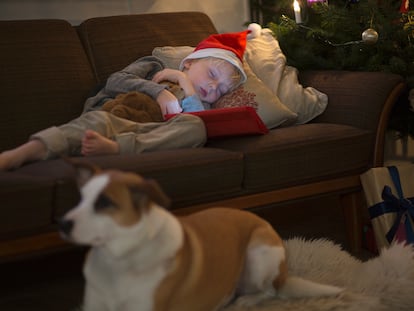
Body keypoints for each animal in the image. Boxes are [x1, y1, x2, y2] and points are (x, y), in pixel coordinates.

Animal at [59, 162, 342, 310]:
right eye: (81, 198)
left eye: (105, 203)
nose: (62, 224)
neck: (118, 261)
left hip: (258, 254)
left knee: (269, 292)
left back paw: (243, 301)